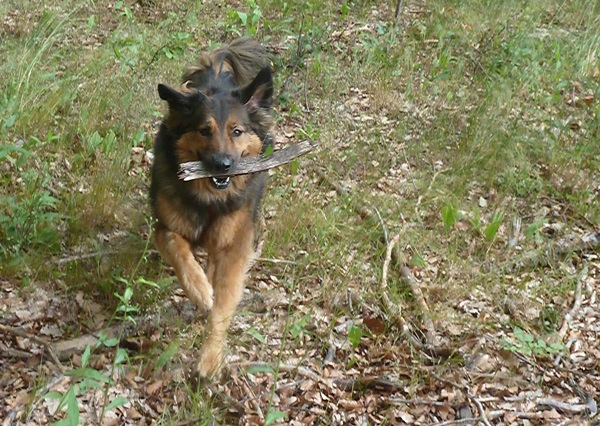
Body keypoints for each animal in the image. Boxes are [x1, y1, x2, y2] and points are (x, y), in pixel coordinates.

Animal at [150, 38, 274, 378]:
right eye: (204, 131)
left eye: (236, 131)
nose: (222, 165)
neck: (208, 199)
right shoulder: (165, 227)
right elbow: (179, 252)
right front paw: (200, 291)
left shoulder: (235, 246)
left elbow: (223, 305)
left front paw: (209, 357)